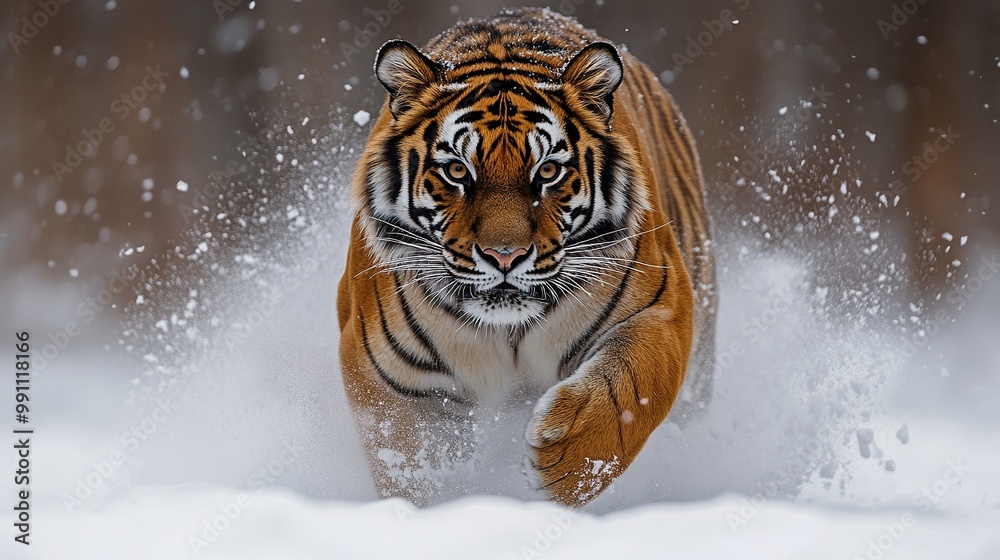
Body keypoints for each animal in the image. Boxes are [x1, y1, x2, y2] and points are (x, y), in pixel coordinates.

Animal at [337, 7, 716, 507]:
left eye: (548, 171)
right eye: (457, 170)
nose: (505, 256)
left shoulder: (662, 308)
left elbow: (633, 393)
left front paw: (565, 464)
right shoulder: (384, 377)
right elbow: (407, 463)